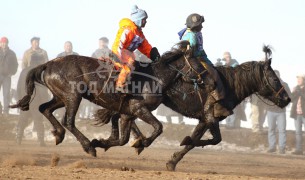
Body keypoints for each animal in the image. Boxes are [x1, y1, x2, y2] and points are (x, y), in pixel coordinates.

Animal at [91, 45, 288, 170]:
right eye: (275, 78)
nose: (287, 99)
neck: (229, 86)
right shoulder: (210, 117)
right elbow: (214, 139)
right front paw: (181, 144)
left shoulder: (204, 120)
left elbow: (196, 141)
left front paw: (173, 161)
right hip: (146, 104)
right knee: (124, 116)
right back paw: (133, 141)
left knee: (120, 116)